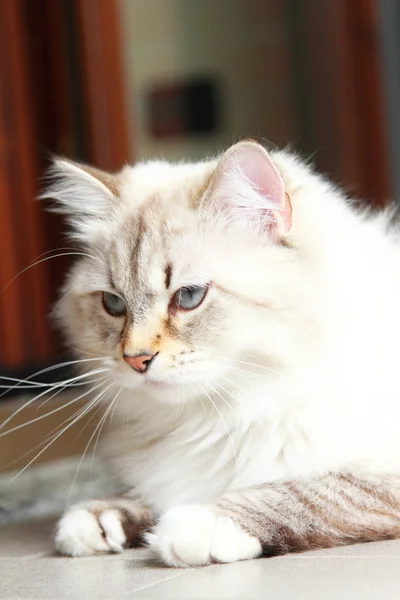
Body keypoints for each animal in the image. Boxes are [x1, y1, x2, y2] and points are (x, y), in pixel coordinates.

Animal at [43, 141, 400, 568]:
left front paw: (195, 526)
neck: (221, 415)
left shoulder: (378, 476)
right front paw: (99, 519)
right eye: (113, 304)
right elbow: (148, 491)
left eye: (188, 296)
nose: (136, 359)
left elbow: (303, 492)